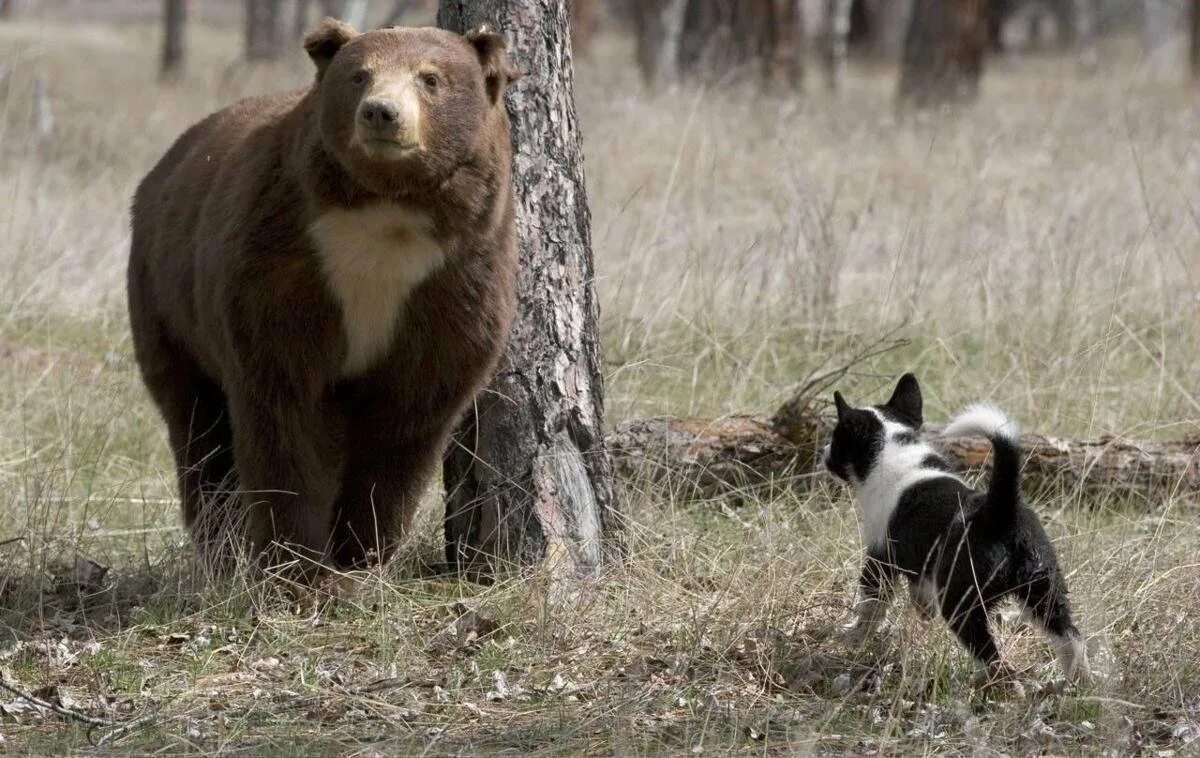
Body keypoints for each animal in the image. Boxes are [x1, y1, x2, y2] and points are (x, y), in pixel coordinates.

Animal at [127, 19, 520, 573]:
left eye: (430, 79)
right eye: (359, 76)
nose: (381, 113)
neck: (388, 215)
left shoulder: (455, 280)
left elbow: (408, 418)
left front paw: (359, 551)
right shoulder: (284, 263)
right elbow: (284, 406)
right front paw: (297, 562)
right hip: (167, 306)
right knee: (198, 425)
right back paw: (220, 544)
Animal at [825, 376, 1089, 686]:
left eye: (836, 438)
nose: (824, 453)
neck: (892, 447)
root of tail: (998, 511)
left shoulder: (879, 559)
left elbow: (870, 607)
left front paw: (853, 637)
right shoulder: (921, 567)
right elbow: (918, 595)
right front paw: (922, 617)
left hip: (961, 604)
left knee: (992, 657)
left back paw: (992, 683)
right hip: (1045, 589)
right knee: (1070, 638)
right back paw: (1079, 684)